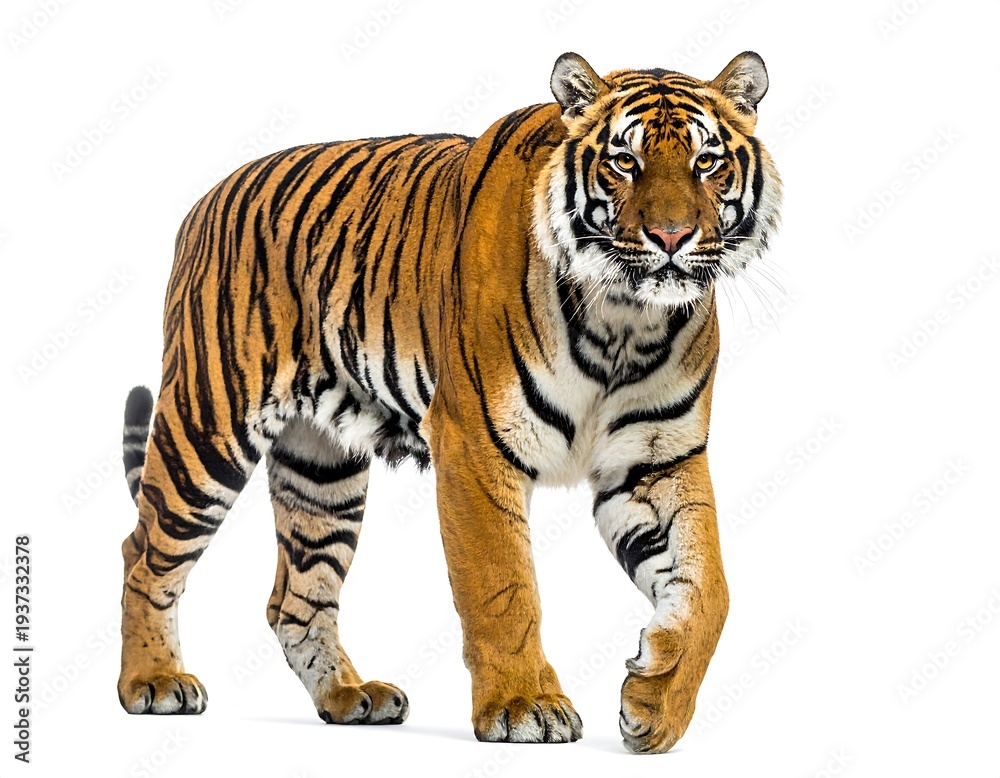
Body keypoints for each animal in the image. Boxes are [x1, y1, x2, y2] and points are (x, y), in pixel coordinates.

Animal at [117, 50, 781, 754]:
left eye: (706, 162)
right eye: (624, 161)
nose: (671, 236)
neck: (626, 321)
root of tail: (206, 198)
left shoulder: (657, 459)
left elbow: (710, 589)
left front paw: (655, 707)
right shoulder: (475, 445)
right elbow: (502, 585)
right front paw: (524, 705)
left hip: (321, 471)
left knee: (296, 597)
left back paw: (349, 697)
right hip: (205, 428)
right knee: (145, 555)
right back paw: (153, 682)